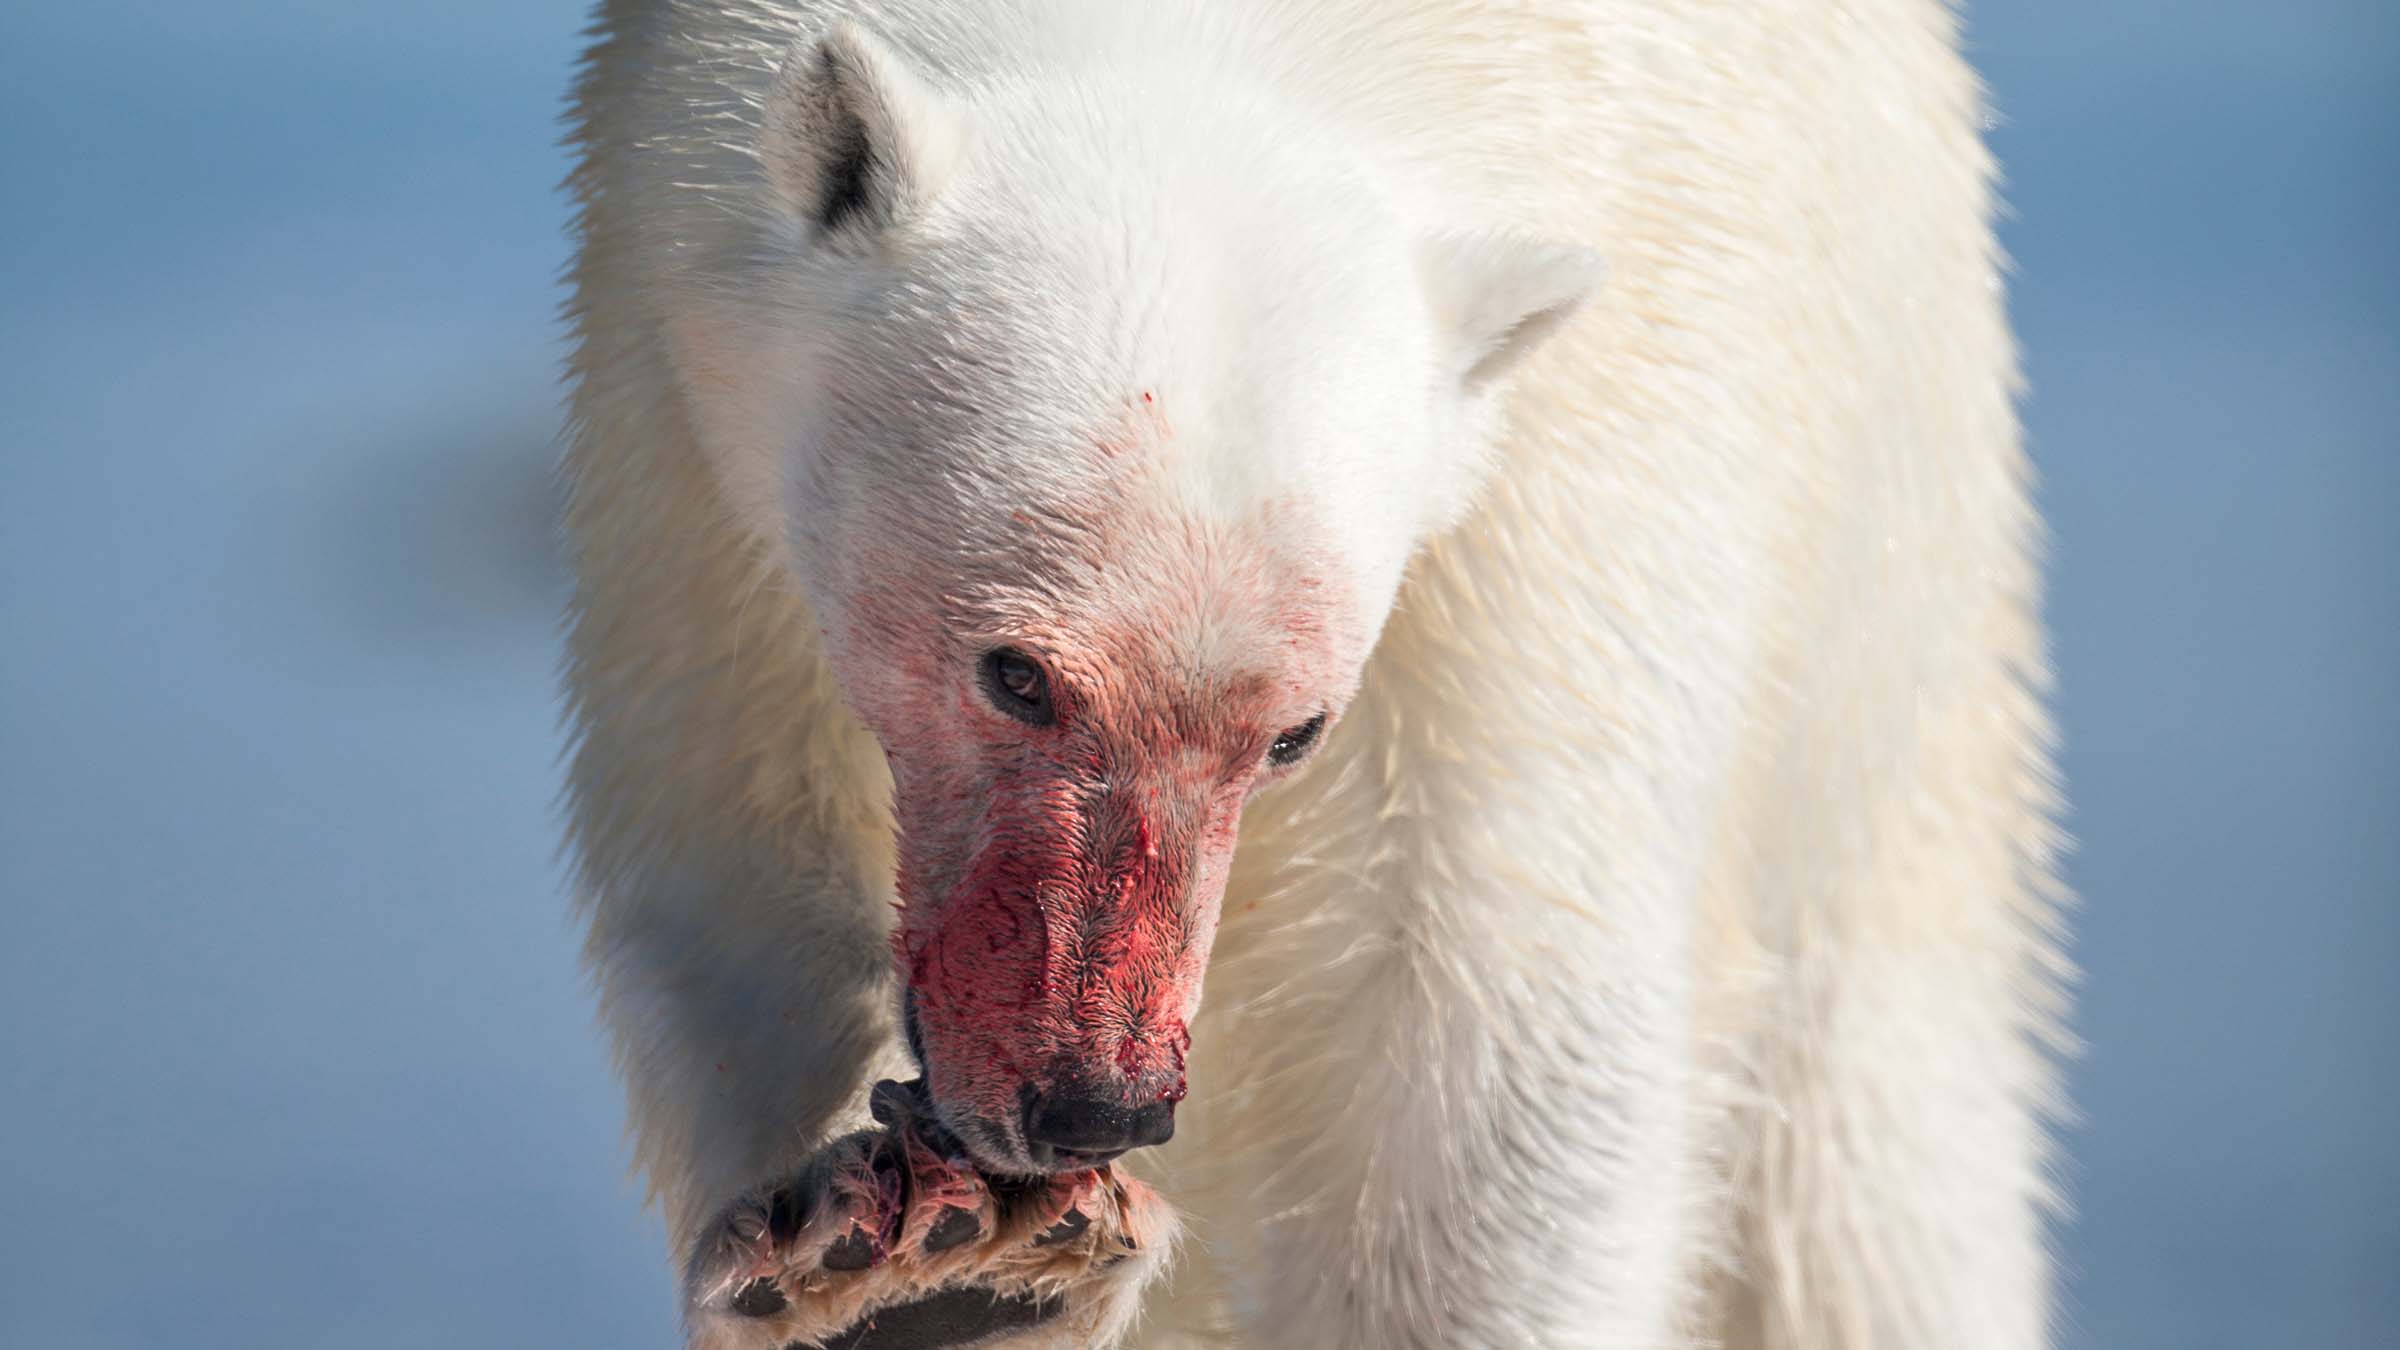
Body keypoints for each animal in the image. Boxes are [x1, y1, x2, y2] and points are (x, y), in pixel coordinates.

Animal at [558, 2, 2068, 1347]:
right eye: (1017, 674)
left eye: (1296, 732)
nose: (1095, 1102)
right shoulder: (668, 388)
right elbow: (730, 861)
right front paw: (897, 1259)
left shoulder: (1583, 475)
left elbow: (1507, 1037)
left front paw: (973, 1263)